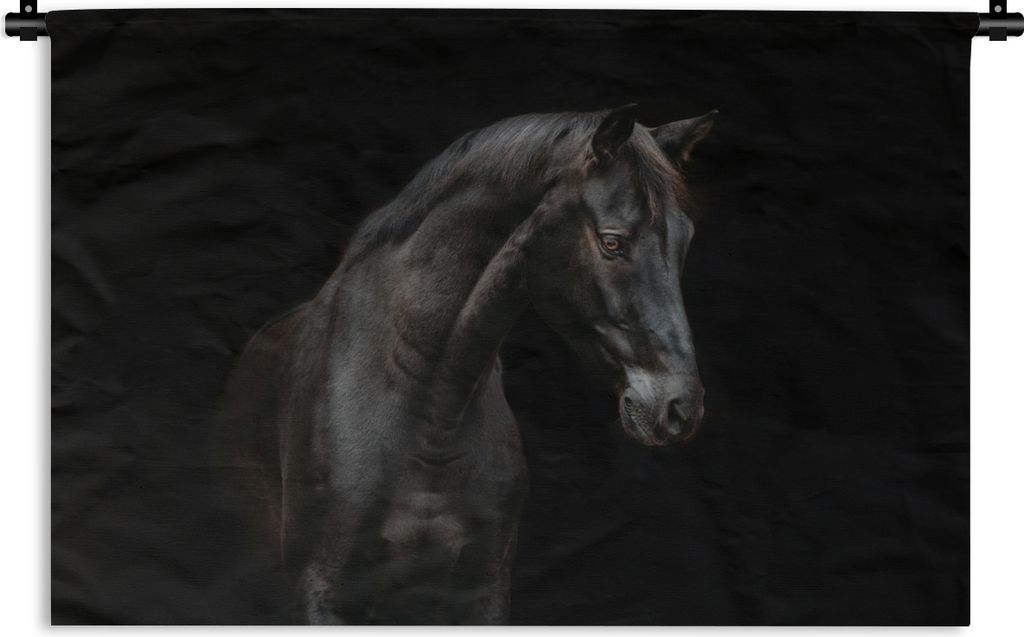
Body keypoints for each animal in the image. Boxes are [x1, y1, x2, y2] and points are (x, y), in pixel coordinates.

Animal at [218, 105, 716, 624]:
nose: (680, 408)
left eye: (684, 241)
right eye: (612, 242)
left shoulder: (482, 589)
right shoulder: (325, 591)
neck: (428, 413)